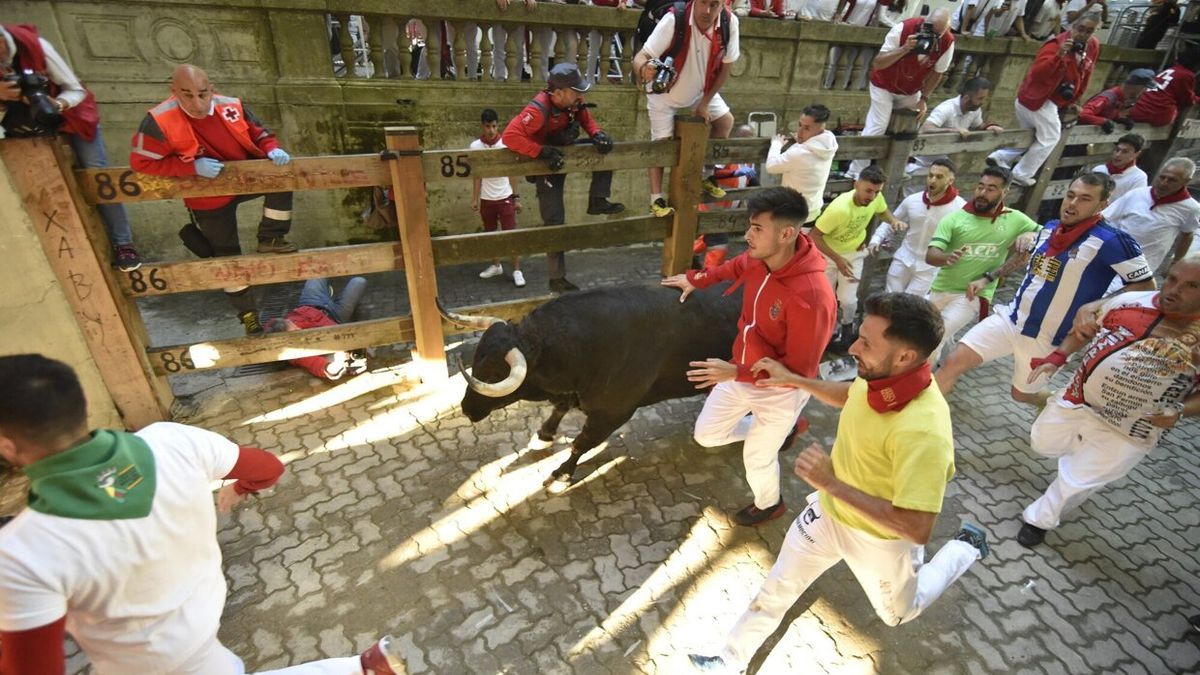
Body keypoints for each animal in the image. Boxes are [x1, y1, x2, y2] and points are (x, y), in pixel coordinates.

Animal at [451, 282, 739, 482]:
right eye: (476, 361)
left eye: (492, 375)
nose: (466, 408)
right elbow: (559, 409)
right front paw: (544, 435)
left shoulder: (613, 412)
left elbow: (582, 441)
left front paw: (563, 473)